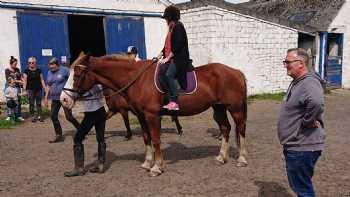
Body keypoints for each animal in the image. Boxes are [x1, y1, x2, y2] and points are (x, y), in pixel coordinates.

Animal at [62, 51, 249, 176]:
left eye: (77, 74)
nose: (64, 99)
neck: (137, 79)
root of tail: (236, 71)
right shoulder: (141, 116)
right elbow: (146, 138)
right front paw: (147, 163)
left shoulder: (152, 115)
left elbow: (156, 139)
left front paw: (157, 167)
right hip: (219, 108)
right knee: (225, 128)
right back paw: (221, 158)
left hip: (235, 108)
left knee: (240, 129)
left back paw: (241, 159)